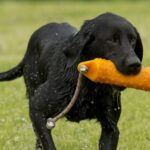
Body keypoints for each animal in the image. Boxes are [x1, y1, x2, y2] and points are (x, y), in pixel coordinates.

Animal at [0, 12, 143, 149]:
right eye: (112, 39)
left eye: (133, 39)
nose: (135, 64)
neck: (90, 85)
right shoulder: (37, 109)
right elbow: (48, 144)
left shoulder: (111, 128)